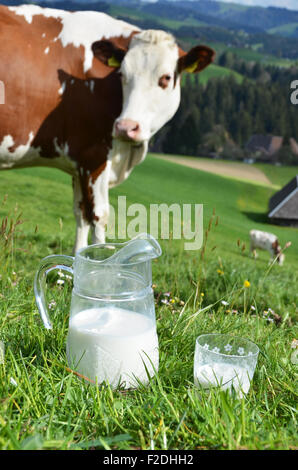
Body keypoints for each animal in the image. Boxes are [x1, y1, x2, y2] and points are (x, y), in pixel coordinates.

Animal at [0, 4, 214, 253]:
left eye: (166, 78)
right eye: (122, 74)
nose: (125, 127)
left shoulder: (79, 163)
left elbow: (81, 214)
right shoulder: (94, 154)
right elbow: (98, 216)